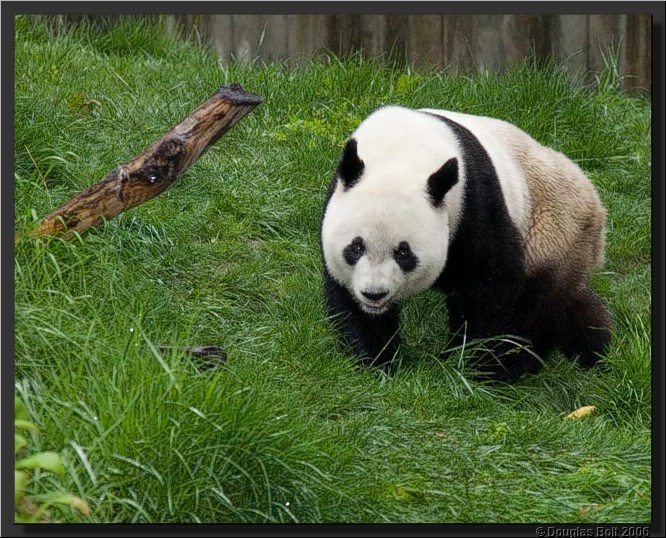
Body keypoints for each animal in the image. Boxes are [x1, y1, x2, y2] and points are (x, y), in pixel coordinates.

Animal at [320, 105, 612, 382]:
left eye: (404, 252)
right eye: (356, 247)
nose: (374, 294)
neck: (402, 154)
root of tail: (596, 203)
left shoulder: (474, 204)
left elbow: (488, 284)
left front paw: (469, 366)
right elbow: (349, 300)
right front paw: (375, 361)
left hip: (552, 232)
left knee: (537, 308)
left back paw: (517, 365)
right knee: (571, 304)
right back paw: (595, 349)